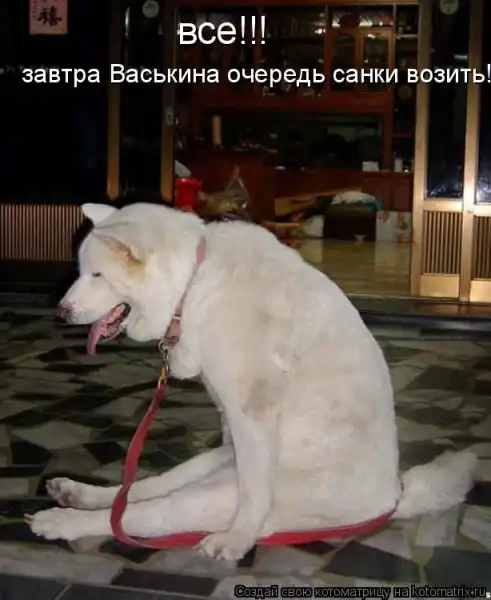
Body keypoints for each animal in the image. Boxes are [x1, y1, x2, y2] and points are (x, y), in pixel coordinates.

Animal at [27, 202, 477, 560]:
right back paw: (76, 493)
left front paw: (238, 540)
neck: (195, 283)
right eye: (82, 272)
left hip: (217, 495)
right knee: (143, 489)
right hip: (210, 466)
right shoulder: (234, 427)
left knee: (143, 516)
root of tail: (394, 497)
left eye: (97, 275)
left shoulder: (252, 414)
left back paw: (61, 522)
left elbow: (253, 499)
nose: (60, 312)